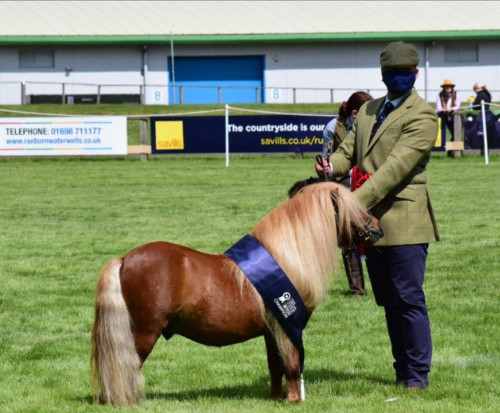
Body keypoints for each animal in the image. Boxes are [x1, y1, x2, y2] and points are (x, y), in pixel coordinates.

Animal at [90, 182, 380, 404]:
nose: (378, 228)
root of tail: (124, 259)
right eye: (354, 209)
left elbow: (275, 366)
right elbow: (292, 364)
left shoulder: (272, 330)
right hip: (143, 334)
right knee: (126, 367)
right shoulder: (287, 327)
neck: (285, 259)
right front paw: (294, 400)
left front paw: (276, 399)